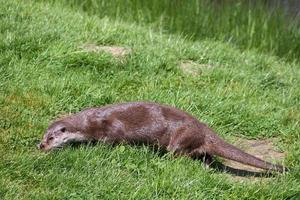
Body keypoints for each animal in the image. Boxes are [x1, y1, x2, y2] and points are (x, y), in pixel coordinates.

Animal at [37, 101, 286, 172]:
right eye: (43, 136)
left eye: (51, 138)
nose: (41, 146)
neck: (89, 122)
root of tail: (204, 129)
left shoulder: (110, 129)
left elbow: (111, 140)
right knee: (205, 155)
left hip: (180, 138)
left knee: (181, 154)